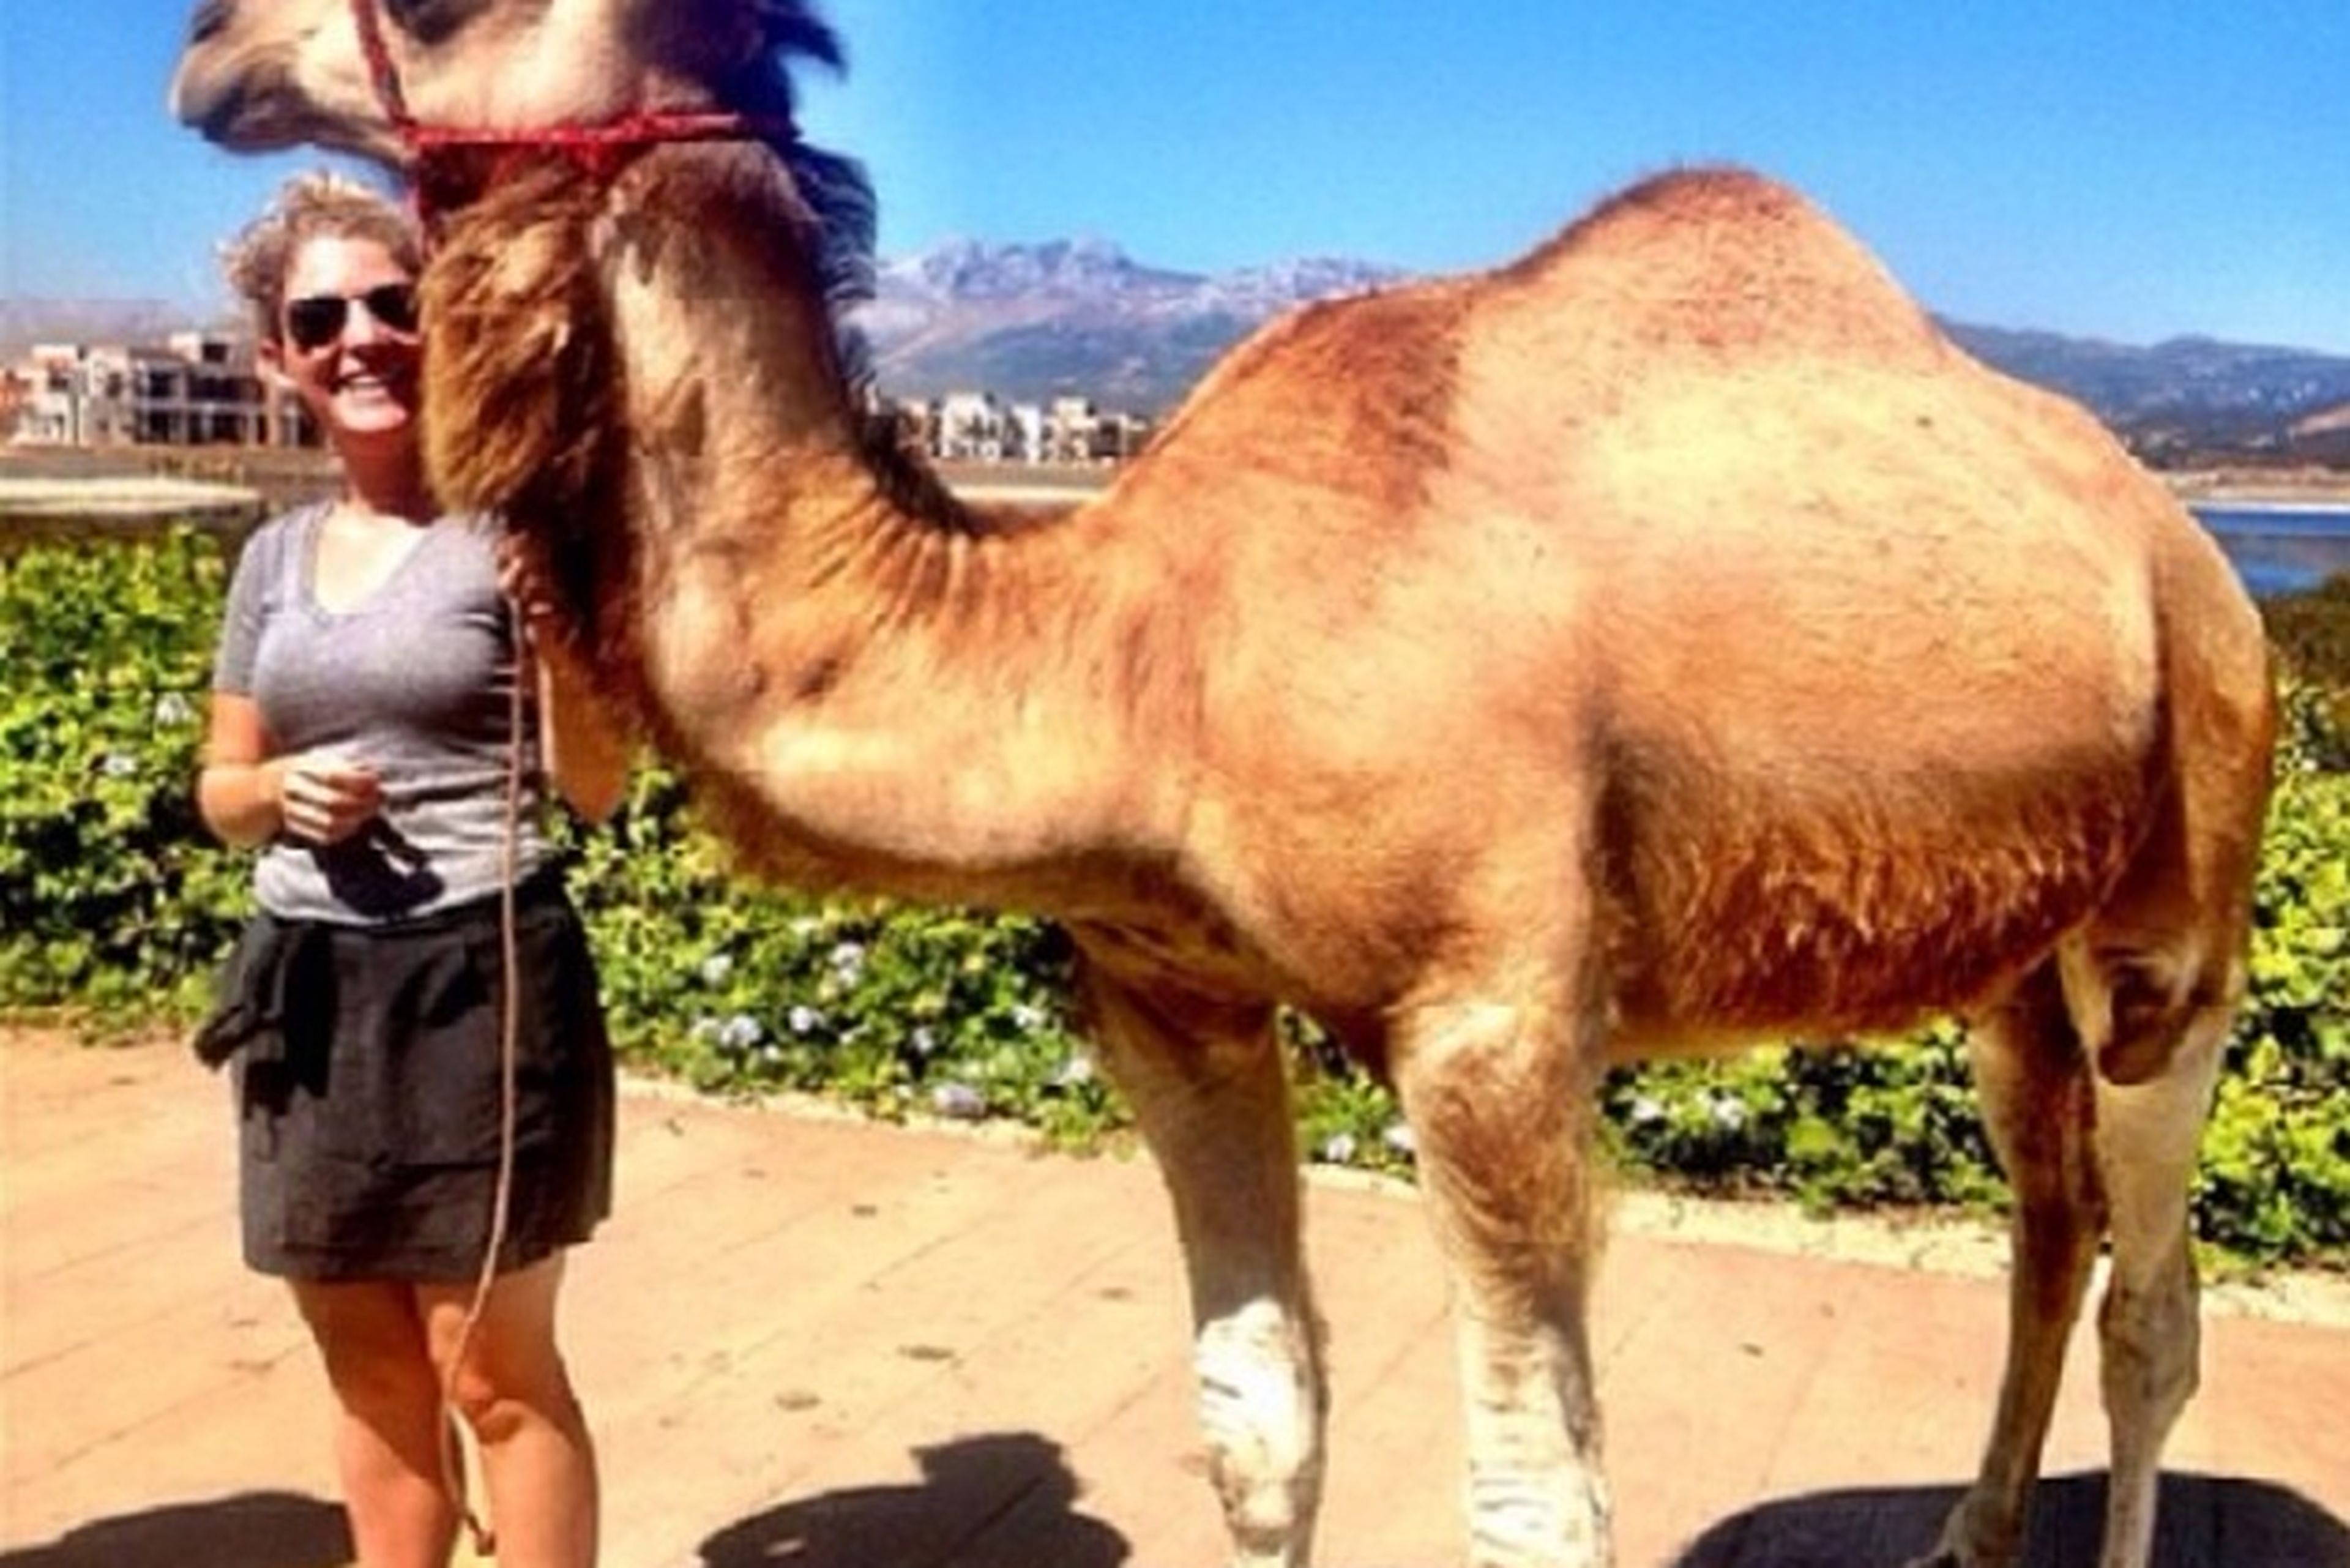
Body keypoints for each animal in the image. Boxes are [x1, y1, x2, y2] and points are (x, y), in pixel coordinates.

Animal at [171, 4, 2277, 1565]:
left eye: (448, 3)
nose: (206, 46)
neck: (1140, 654)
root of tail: (2191, 550)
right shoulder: (1163, 984)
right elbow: (1260, 1421)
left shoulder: (1495, 1017)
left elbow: (1535, 1493)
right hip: (2007, 947)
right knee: (2049, 1217)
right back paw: (1966, 1528)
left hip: (2188, 874)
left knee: (2152, 1307)